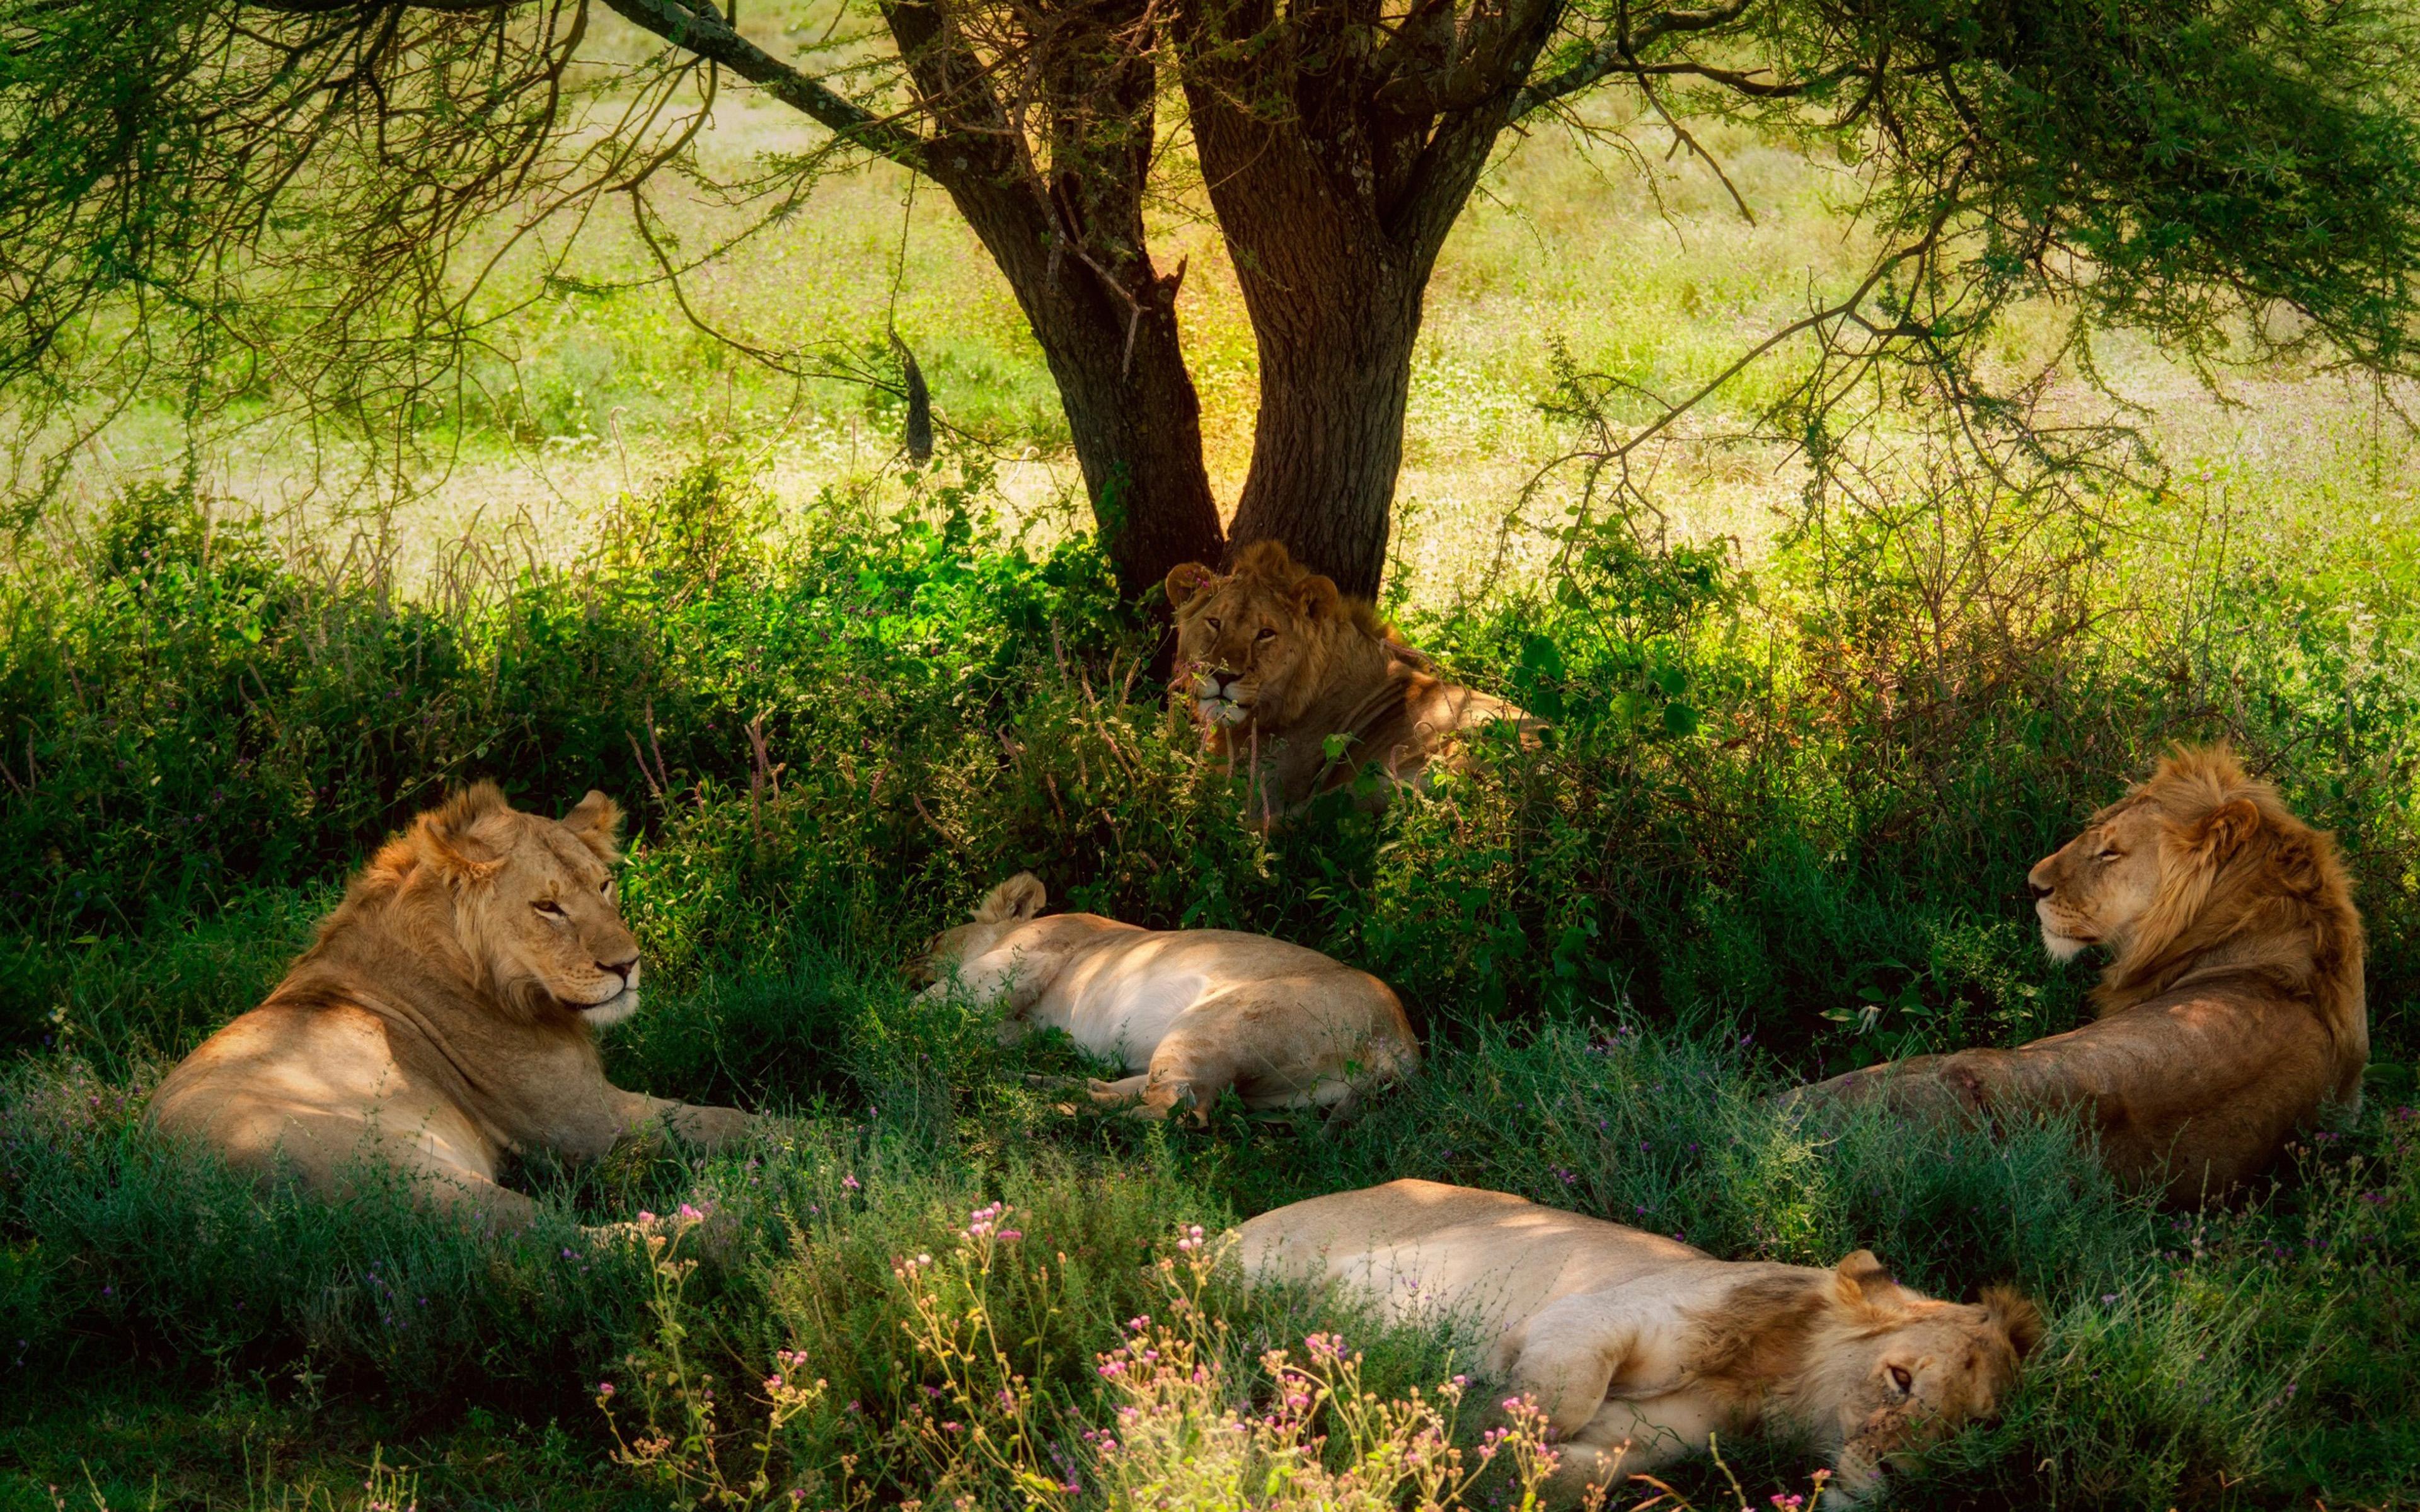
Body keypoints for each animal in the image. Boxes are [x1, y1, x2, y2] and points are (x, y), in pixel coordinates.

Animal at [148, 783, 757, 1229]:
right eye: (548, 906)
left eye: (605, 885)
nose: (627, 965)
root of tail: (180, 1190)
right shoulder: (586, 1125)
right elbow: (729, 1122)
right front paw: (785, 1143)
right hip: (417, 1179)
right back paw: (724, 1221)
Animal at [914, 872, 1419, 1122]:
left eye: (934, 939)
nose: (904, 967)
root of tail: (1401, 1039)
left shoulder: (1028, 955)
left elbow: (940, 998)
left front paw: (896, 1013)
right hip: (1272, 1090)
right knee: (1158, 1093)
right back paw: (1041, 1082)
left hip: (1212, 1026)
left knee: (1176, 1109)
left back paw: (1059, 1108)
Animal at [1236, 1179, 2040, 1501]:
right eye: (1901, 1380)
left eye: (1974, 1429)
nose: (1904, 1478)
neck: (1769, 1386)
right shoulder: (1592, 1314)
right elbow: (1557, 1398)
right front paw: (1458, 1422)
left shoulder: (1664, 1442)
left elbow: (1577, 1475)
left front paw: (1456, 1451)